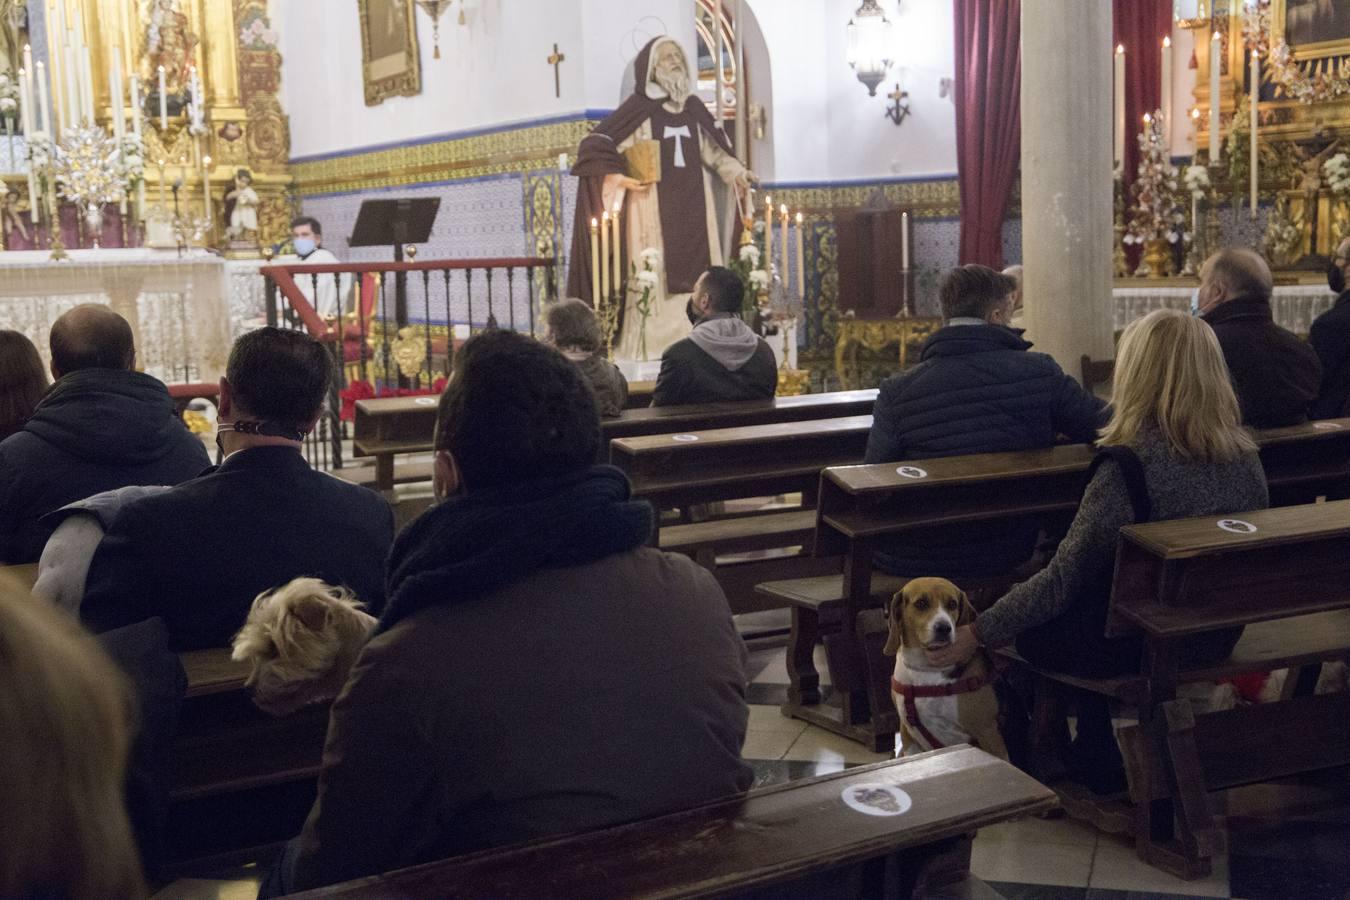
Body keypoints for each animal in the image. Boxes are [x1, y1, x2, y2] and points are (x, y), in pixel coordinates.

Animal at [880, 577, 1009, 761]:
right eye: (921, 603)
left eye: (952, 604)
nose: (944, 628)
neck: (925, 669)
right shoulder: (907, 733)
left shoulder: (989, 732)